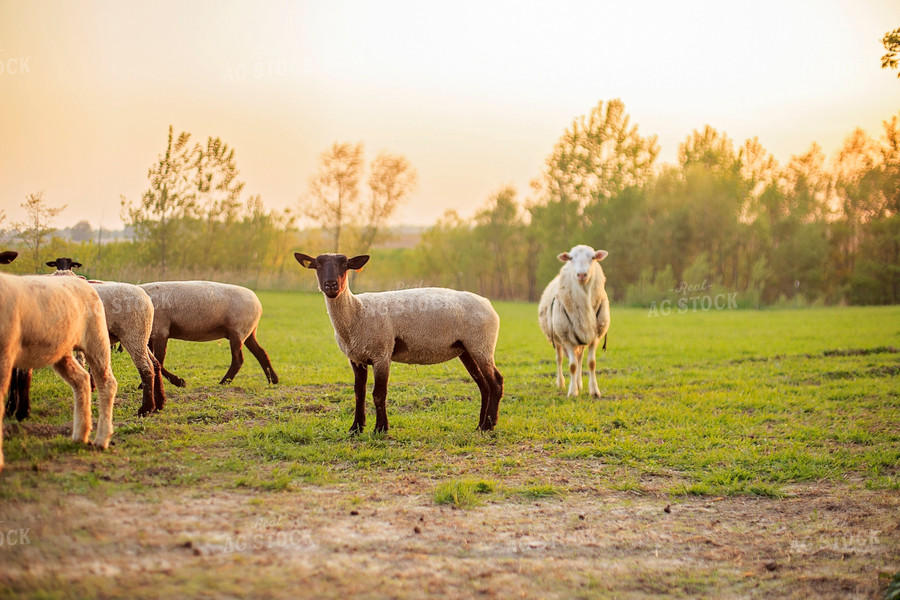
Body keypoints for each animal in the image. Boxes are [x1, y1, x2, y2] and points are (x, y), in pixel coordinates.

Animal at [0, 272, 118, 474]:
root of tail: (82, 280)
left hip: (96, 337)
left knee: (106, 383)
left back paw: (101, 439)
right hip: (61, 349)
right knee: (82, 379)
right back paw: (80, 435)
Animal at [44, 258, 167, 418]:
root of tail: (147, 299)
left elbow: (81, 363)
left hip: (133, 336)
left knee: (146, 368)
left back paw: (145, 409)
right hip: (142, 337)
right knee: (156, 364)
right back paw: (160, 403)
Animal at [137, 280, 276, 386]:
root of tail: (259, 305)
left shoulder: (161, 331)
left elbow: (158, 361)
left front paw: (180, 382)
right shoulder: (151, 336)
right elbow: (152, 361)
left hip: (238, 331)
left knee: (238, 360)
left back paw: (223, 382)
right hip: (249, 332)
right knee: (261, 353)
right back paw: (273, 380)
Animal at [296, 251, 506, 434]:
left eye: (345, 264)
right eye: (318, 265)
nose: (331, 285)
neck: (357, 311)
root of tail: (488, 304)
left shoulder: (381, 354)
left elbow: (379, 394)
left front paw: (380, 429)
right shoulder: (356, 358)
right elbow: (359, 393)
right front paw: (355, 429)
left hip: (482, 345)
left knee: (495, 382)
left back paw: (489, 426)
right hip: (466, 349)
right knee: (484, 385)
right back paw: (480, 425)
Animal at [536, 244, 612, 398]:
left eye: (593, 257)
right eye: (571, 258)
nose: (581, 275)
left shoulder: (594, 337)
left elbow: (591, 363)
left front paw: (594, 391)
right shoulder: (567, 337)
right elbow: (572, 366)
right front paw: (572, 392)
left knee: (580, 358)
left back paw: (579, 383)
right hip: (558, 338)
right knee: (559, 359)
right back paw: (561, 383)